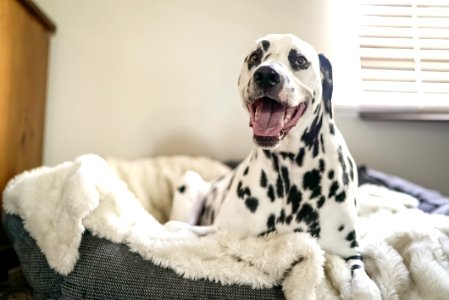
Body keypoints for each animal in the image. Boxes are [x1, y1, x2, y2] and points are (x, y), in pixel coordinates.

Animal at [170, 34, 380, 298]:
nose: (266, 74)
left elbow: (365, 286)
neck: (290, 172)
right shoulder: (222, 232)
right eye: (255, 57)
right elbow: (184, 230)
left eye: (300, 60)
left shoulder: (348, 253)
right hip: (189, 182)